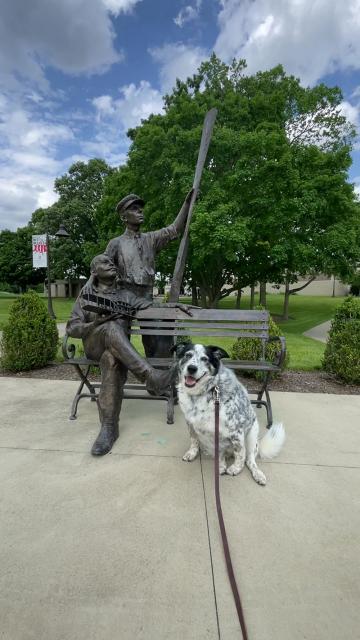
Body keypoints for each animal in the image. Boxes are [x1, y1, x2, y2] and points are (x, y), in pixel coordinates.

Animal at [173, 342, 286, 482]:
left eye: (205, 359)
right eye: (187, 355)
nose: (191, 368)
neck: (203, 393)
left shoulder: (235, 430)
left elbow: (240, 453)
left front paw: (236, 469)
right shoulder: (191, 423)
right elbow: (194, 440)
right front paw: (192, 453)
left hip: (251, 436)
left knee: (249, 459)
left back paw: (257, 474)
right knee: (221, 454)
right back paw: (220, 465)